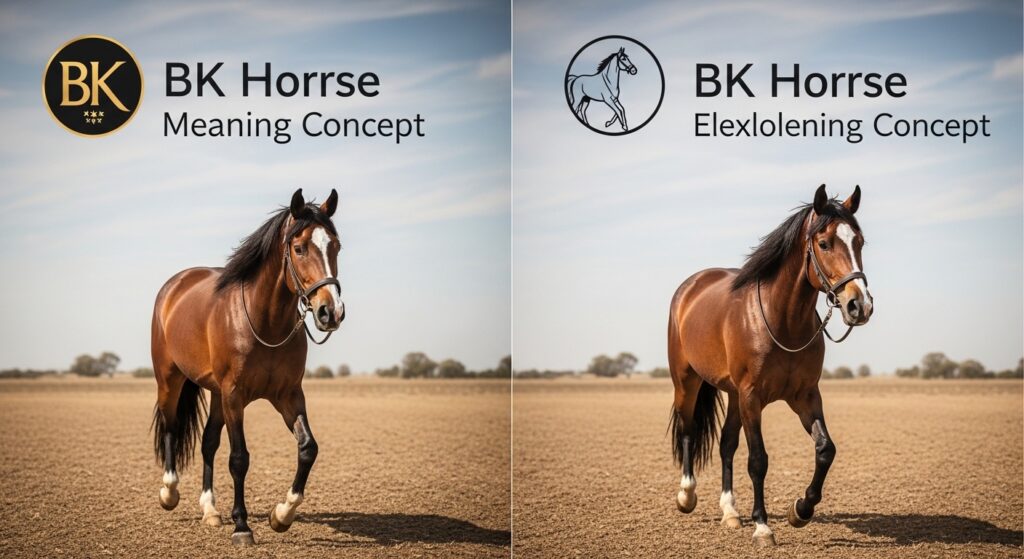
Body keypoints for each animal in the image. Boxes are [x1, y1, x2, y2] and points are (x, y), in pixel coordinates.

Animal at [150, 188, 345, 546]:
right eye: (299, 248)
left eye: (335, 246)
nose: (331, 312)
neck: (264, 320)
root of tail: (176, 285)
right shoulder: (234, 396)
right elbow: (239, 459)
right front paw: (242, 525)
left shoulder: (288, 395)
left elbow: (308, 448)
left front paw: (282, 515)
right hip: (170, 380)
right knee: (171, 428)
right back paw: (169, 493)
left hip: (215, 394)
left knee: (208, 442)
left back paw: (210, 510)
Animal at [667, 184, 873, 546]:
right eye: (824, 243)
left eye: (859, 241)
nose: (859, 305)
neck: (783, 321)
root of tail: (690, 287)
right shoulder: (752, 397)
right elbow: (758, 460)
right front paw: (763, 526)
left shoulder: (805, 396)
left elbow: (825, 449)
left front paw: (800, 510)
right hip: (686, 381)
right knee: (689, 430)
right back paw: (687, 496)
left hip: (733, 395)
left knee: (726, 444)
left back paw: (730, 511)